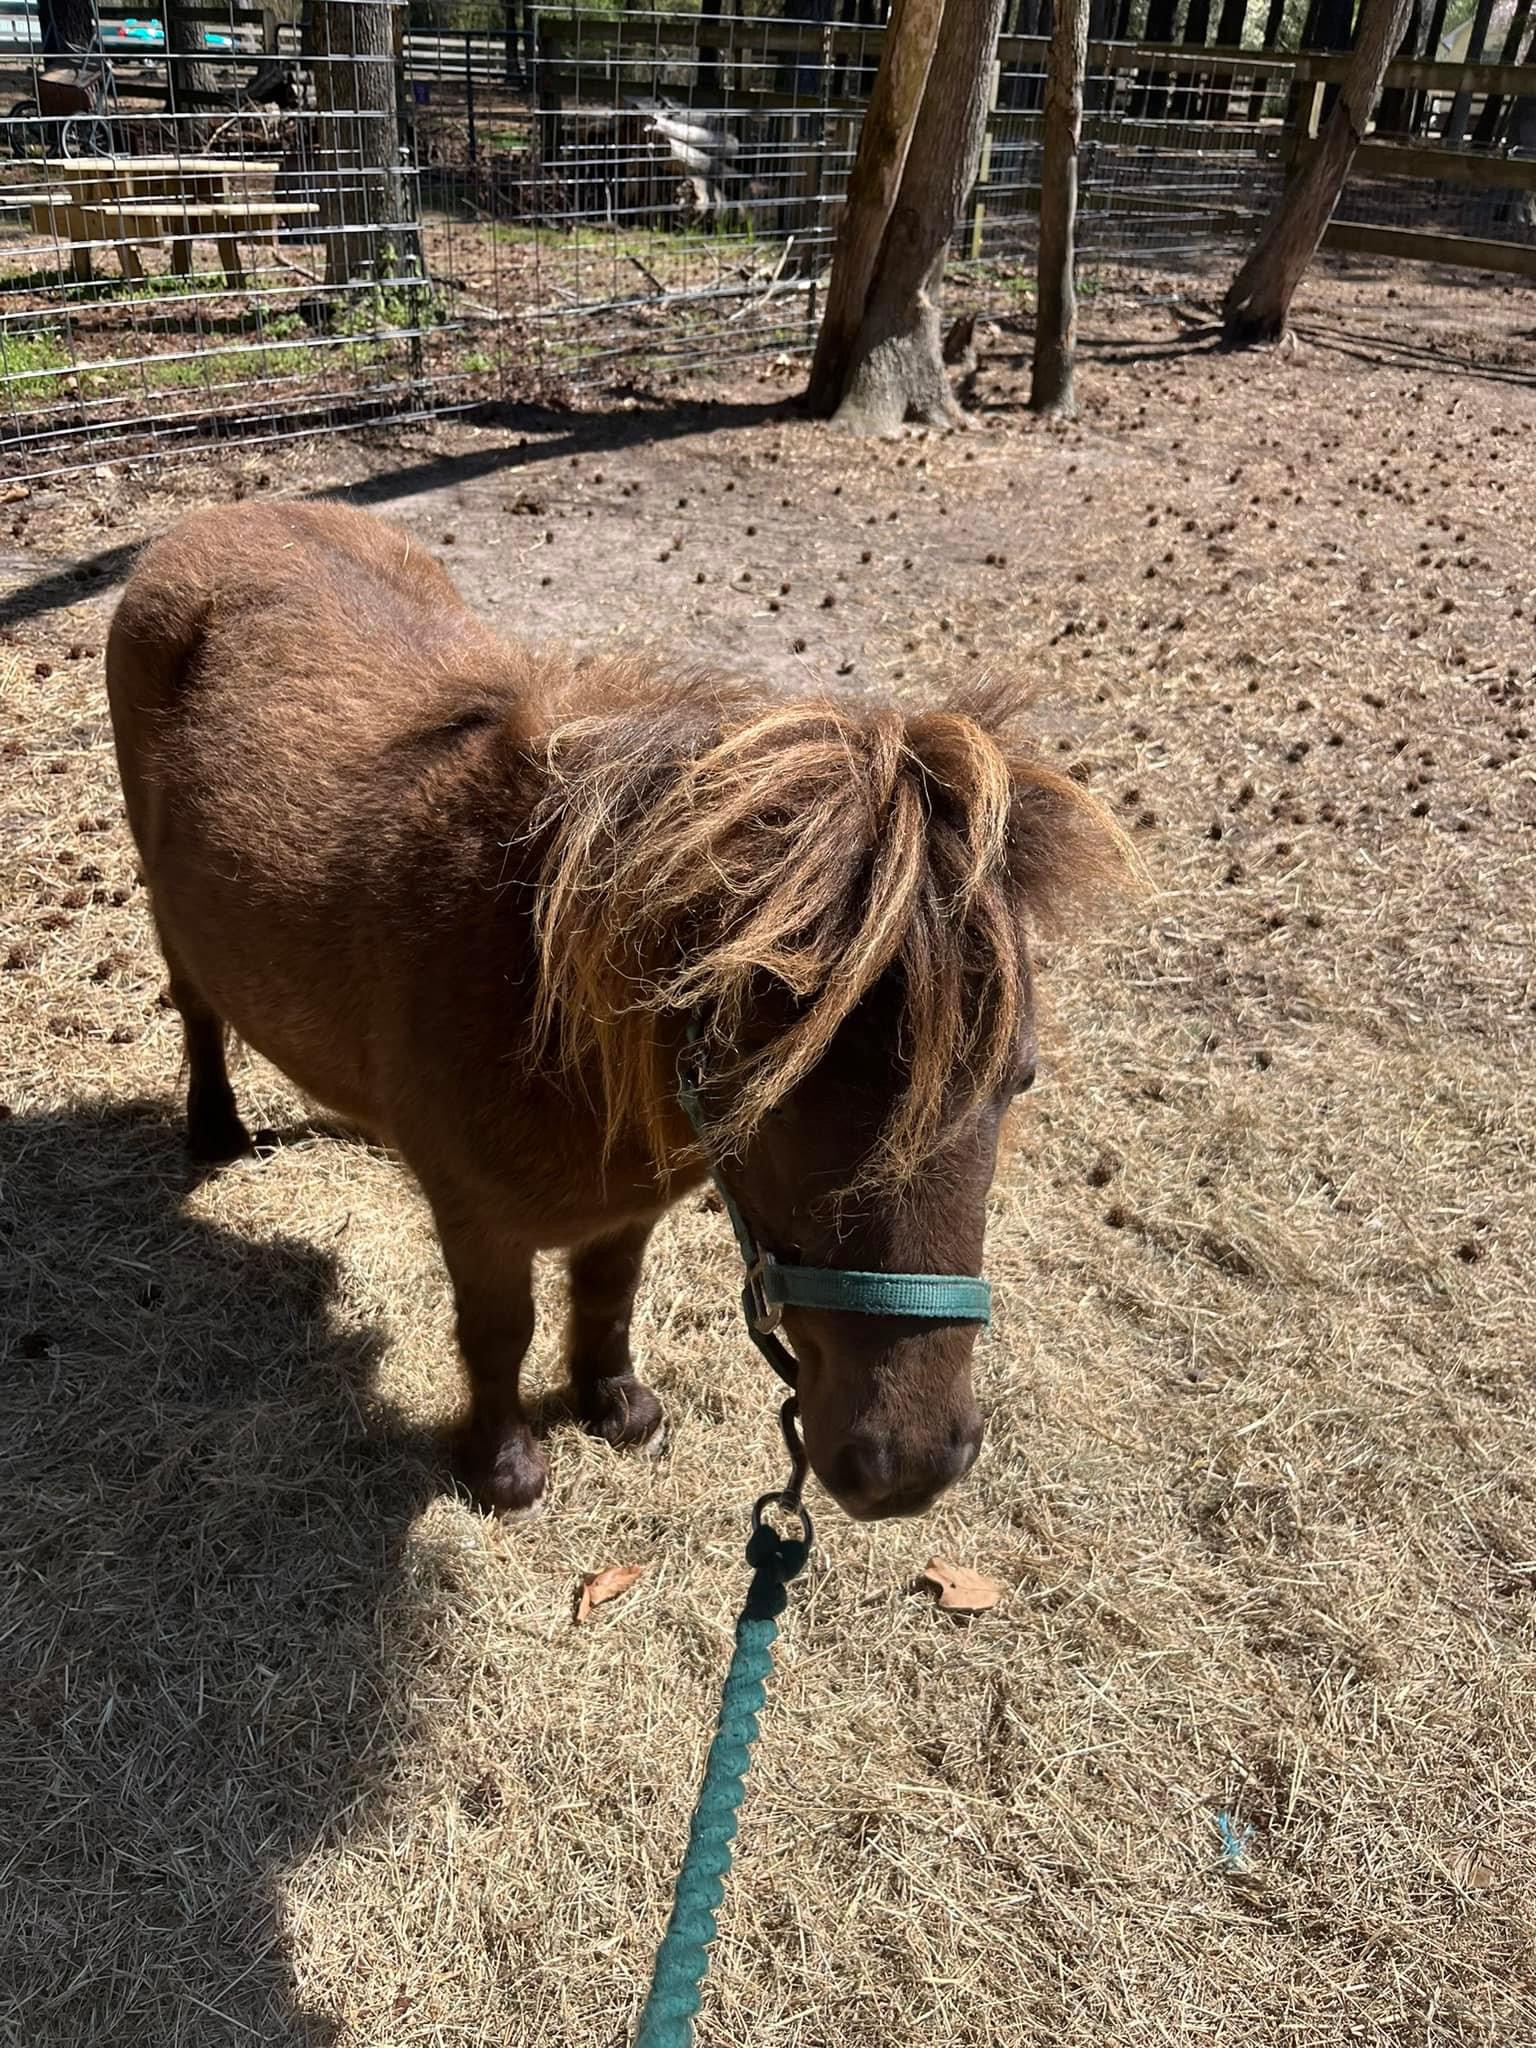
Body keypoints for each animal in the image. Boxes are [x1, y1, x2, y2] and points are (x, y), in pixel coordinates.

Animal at [106, 502, 1129, 1524]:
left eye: (1019, 1080)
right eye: (766, 1087)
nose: (908, 1468)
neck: (537, 992)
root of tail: (222, 518)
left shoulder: (629, 1205)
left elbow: (608, 1291)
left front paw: (615, 1405)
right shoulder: (478, 1222)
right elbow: (497, 1331)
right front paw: (505, 1470)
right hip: (169, 910)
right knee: (197, 1008)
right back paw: (215, 1131)